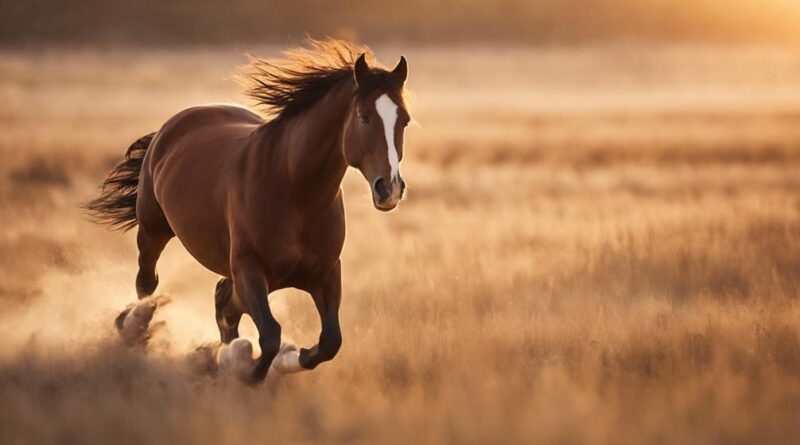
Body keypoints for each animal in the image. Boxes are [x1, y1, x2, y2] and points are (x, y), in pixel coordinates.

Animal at [86, 40, 412, 384]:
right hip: (153, 230)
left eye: (404, 120)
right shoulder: (249, 268)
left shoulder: (325, 273)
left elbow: (329, 342)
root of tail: (177, 122)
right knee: (147, 283)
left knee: (222, 301)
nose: (389, 189)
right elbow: (269, 336)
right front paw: (240, 365)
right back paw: (133, 329)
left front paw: (281, 358)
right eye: (364, 117)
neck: (294, 190)